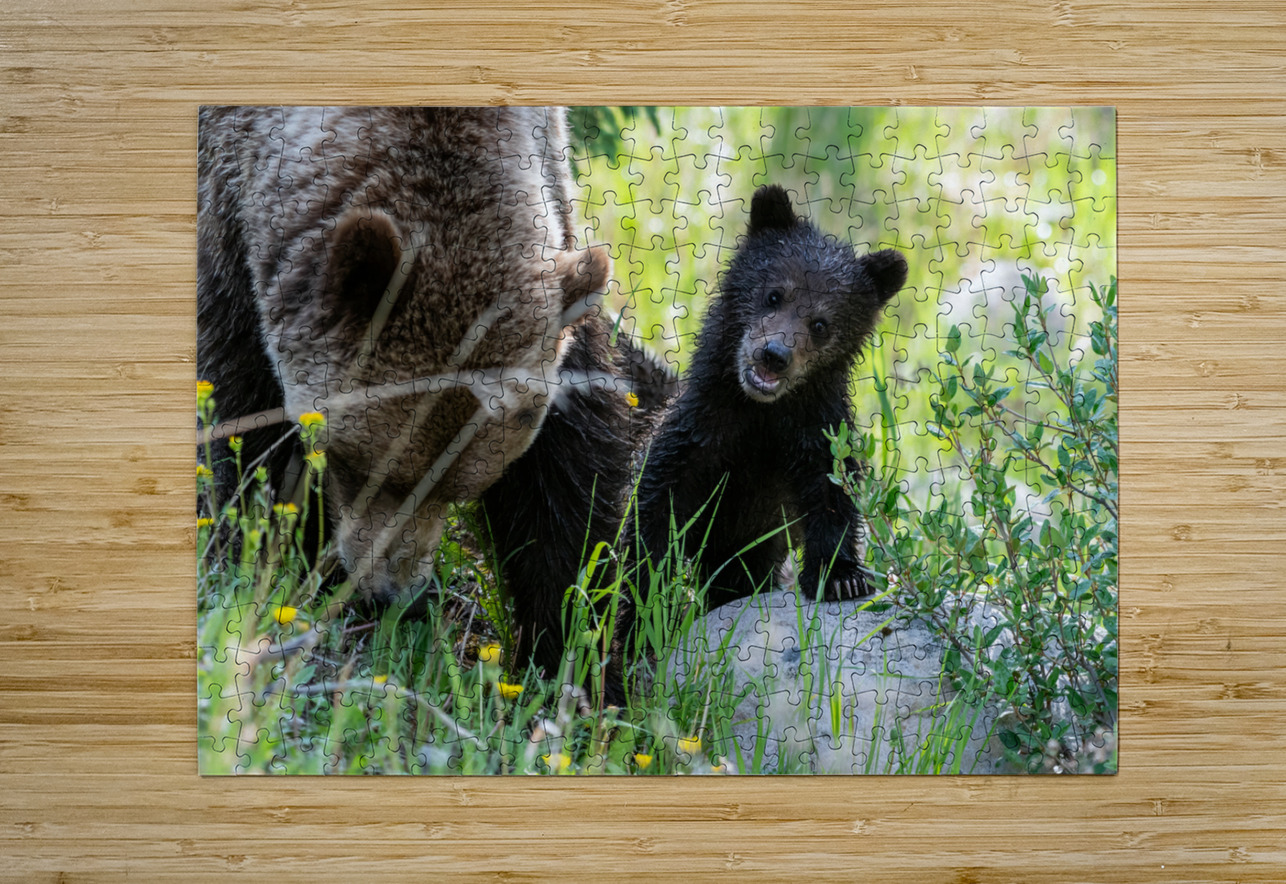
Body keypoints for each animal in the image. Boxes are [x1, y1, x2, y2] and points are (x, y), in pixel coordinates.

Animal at [198, 106, 671, 695]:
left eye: (460, 486)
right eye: (356, 464)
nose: (393, 596)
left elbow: (569, 475)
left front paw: (570, 654)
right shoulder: (230, 221)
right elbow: (243, 418)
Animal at [630, 184, 907, 613]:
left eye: (821, 324)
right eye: (775, 295)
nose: (774, 354)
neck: (761, 415)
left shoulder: (815, 430)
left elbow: (832, 492)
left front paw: (840, 576)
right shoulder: (699, 428)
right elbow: (655, 504)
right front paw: (645, 590)